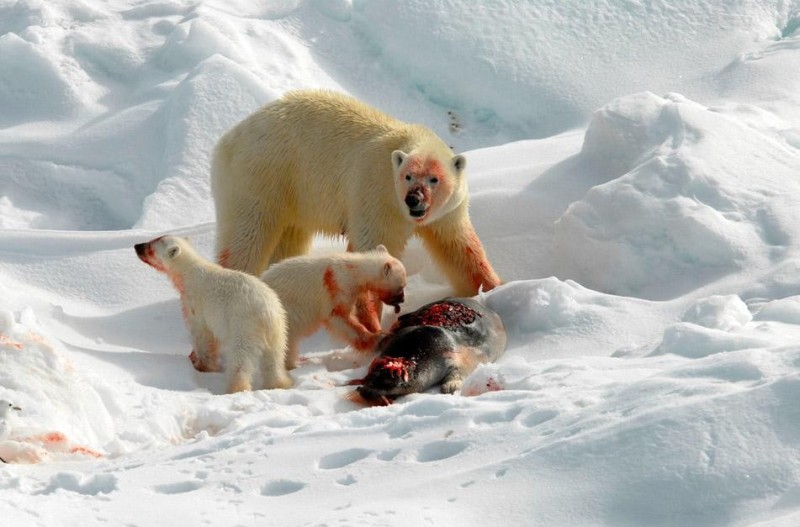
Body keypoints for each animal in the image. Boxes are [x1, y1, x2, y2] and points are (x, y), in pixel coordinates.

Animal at [134, 237, 290, 394]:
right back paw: (279, 383)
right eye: (152, 240)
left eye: (150, 247)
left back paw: (236, 387)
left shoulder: (197, 304)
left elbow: (202, 334)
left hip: (244, 325)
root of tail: (267, 313)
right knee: (274, 358)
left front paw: (200, 365)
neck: (189, 272)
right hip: (279, 328)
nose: (136, 246)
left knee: (240, 356)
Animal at [211, 88, 500, 326]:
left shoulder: (447, 213)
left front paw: (493, 287)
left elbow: (459, 248)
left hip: (293, 196)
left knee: (289, 240)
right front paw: (370, 318)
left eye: (434, 178)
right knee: (247, 237)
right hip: (263, 175)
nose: (414, 199)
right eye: (408, 176)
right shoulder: (377, 195)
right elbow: (370, 249)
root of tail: (227, 140)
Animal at [260, 245, 406, 370]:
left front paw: (380, 330)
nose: (403, 300)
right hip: (281, 315)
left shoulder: (357, 292)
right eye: (401, 287)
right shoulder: (337, 286)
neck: (352, 270)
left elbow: (365, 309)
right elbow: (339, 317)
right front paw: (378, 339)